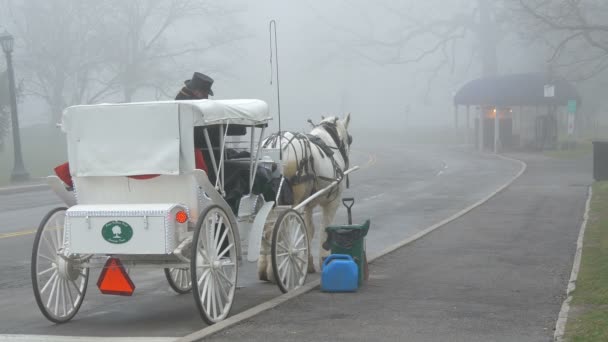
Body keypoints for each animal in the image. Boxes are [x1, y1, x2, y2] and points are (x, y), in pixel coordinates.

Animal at [256, 113, 352, 282]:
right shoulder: (332, 202)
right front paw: (324, 259)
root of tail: (274, 143)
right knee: (279, 230)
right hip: (292, 201)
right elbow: (324, 228)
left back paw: (264, 268)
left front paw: (309, 263)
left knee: (266, 227)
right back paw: (276, 270)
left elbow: (308, 229)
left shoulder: (308, 204)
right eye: (350, 139)